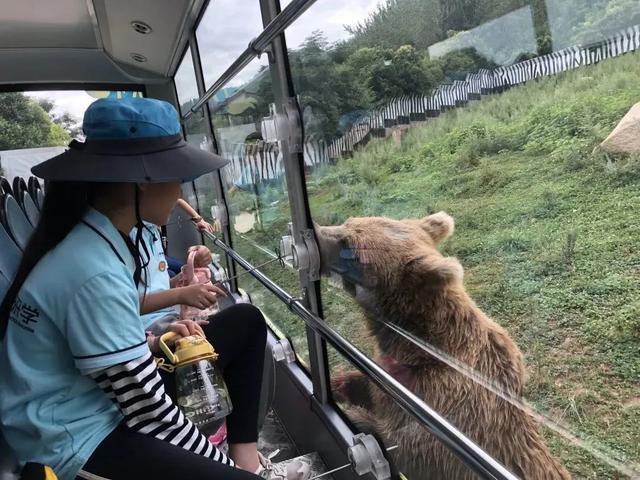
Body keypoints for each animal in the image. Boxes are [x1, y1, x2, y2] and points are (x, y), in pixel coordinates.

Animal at [316, 214, 568, 480]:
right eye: (349, 222)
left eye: (349, 246)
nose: (317, 231)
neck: (422, 348)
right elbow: (372, 386)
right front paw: (339, 384)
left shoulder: (447, 401)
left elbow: (410, 447)